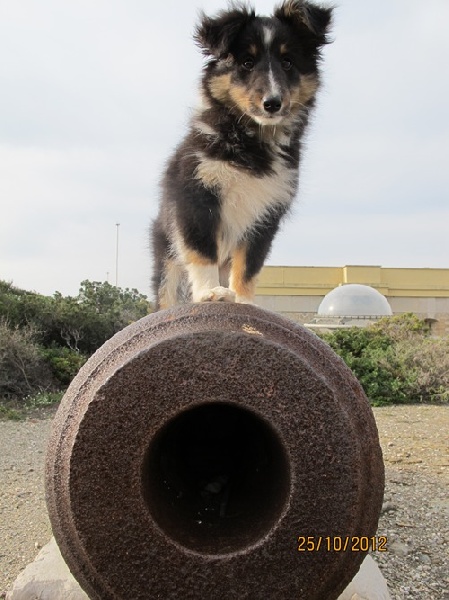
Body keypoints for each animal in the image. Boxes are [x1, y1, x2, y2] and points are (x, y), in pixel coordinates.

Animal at [152, 0, 330, 310]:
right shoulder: (196, 195)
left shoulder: (267, 213)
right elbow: (202, 250)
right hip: (167, 254)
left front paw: (245, 302)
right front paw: (209, 292)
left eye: (287, 62)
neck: (251, 141)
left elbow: (249, 264)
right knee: (168, 291)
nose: (272, 103)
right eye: (247, 62)